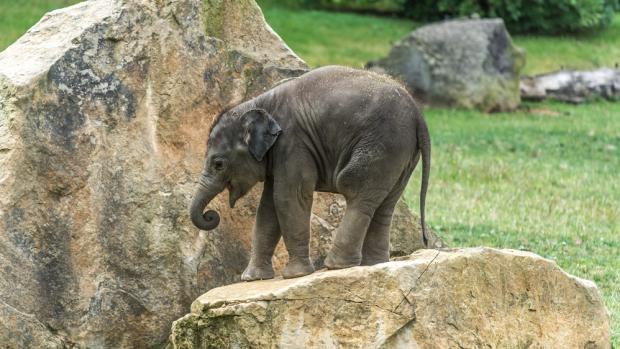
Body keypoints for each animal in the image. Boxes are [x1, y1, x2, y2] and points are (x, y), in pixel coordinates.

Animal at [190, 65, 432, 280]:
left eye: (218, 164)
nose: (211, 215)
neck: (258, 103)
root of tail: (418, 115)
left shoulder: (293, 143)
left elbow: (288, 198)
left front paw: (295, 275)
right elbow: (267, 207)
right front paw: (252, 279)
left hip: (382, 144)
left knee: (356, 191)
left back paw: (336, 266)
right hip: (402, 155)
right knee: (386, 203)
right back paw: (374, 264)